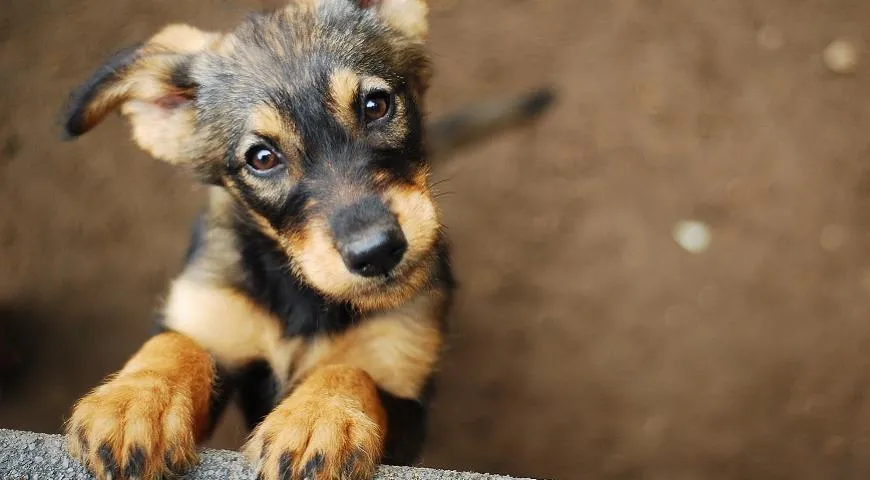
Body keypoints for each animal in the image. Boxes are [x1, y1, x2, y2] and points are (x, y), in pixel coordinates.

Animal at [59, 1, 552, 478]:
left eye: (376, 105)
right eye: (261, 158)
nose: (377, 252)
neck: (304, 296)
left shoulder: (405, 394)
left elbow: (350, 370)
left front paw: (317, 419)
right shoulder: (212, 313)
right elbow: (176, 343)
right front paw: (134, 402)